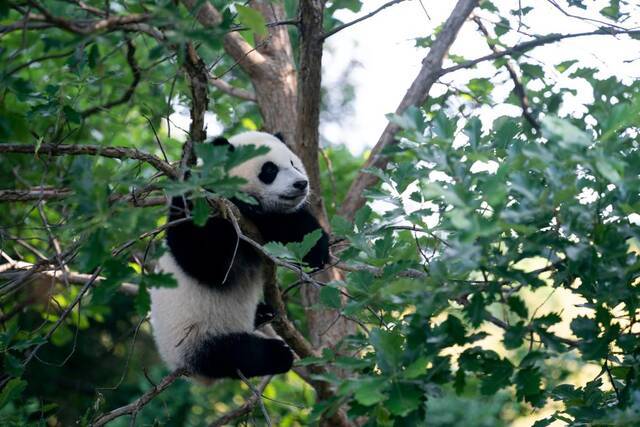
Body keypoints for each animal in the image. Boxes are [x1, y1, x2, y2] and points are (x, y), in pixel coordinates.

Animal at [151, 131, 330, 382]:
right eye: (269, 170)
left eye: (294, 163)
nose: (301, 183)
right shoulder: (206, 208)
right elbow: (204, 260)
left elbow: (296, 228)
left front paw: (317, 253)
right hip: (193, 335)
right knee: (236, 355)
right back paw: (277, 354)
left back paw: (263, 313)